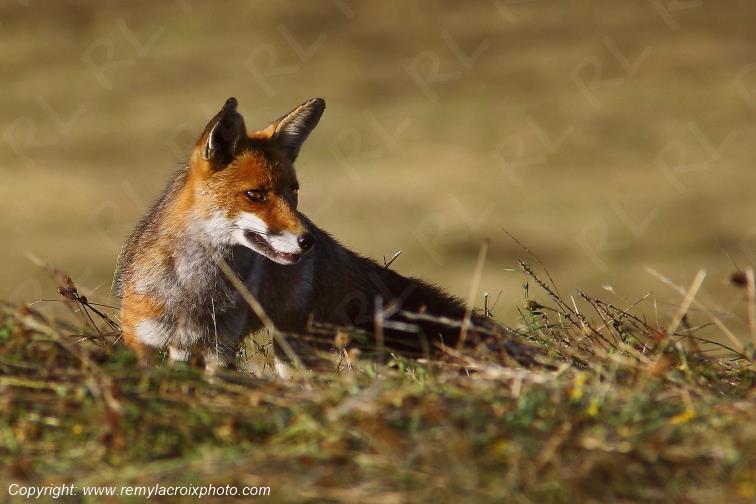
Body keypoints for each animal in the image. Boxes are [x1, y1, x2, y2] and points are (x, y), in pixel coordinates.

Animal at [114, 97, 527, 370]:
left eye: (293, 191)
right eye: (255, 195)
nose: (306, 240)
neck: (193, 292)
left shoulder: (219, 348)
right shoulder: (143, 340)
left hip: (294, 347)